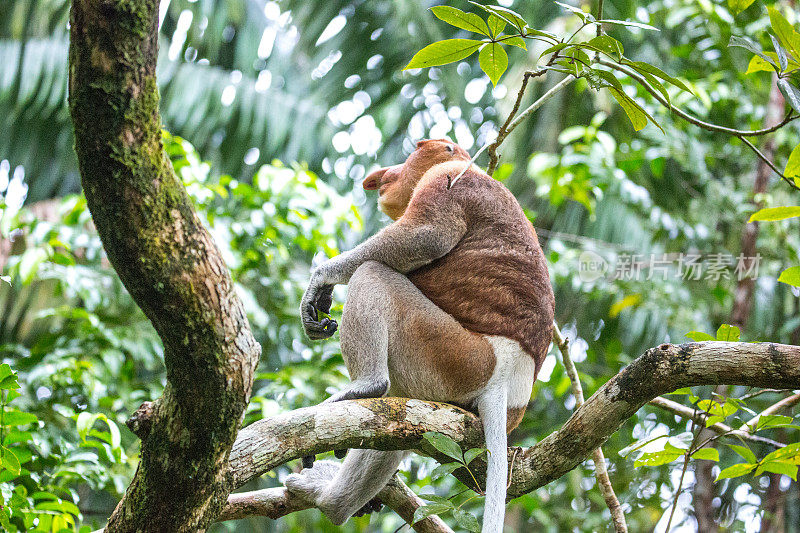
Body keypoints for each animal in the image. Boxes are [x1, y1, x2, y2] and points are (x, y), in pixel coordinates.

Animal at [288, 138, 556, 532]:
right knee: (398, 416)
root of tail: (510, 381)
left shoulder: (448, 179)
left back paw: (365, 387)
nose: (386, 174)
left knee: (374, 274)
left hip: (453, 354)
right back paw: (331, 502)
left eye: (417, 148)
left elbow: (425, 237)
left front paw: (320, 280)